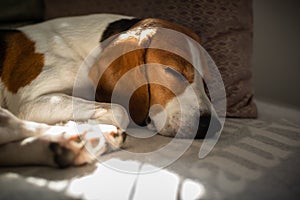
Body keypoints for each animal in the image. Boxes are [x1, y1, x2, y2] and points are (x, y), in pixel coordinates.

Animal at [0, 13, 220, 167]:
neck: (82, 52)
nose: (213, 126)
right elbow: (120, 111)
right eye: (173, 71)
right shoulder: (31, 103)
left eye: (206, 82)